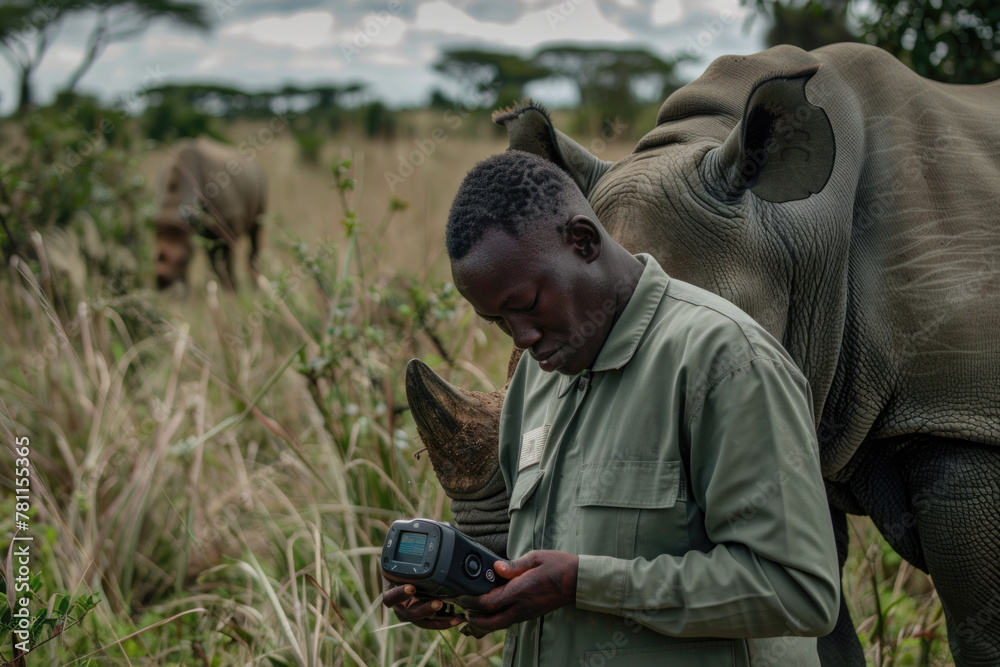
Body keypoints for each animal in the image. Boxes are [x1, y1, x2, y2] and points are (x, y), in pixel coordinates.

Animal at [153, 136, 267, 291]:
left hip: (261, 181)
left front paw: (234, 290)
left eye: (183, 260)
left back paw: (256, 287)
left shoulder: (231, 220)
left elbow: (227, 257)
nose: (163, 285)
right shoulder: (200, 230)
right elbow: (213, 260)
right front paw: (225, 289)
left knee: (255, 231)